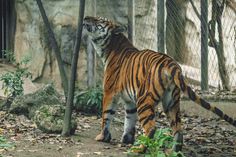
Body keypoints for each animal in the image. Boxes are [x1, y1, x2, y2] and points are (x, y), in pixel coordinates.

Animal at [81, 16, 236, 152]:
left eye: (99, 20)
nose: (86, 17)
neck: (109, 47)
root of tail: (171, 63)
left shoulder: (109, 92)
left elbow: (106, 115)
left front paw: (102, 137)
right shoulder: (130, 101)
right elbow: (129, 120)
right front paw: (127, 139)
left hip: (144, 99)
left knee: (151, 128)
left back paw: (140, 149)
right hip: (171, 103)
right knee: (178, 129)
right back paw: (173, 151)